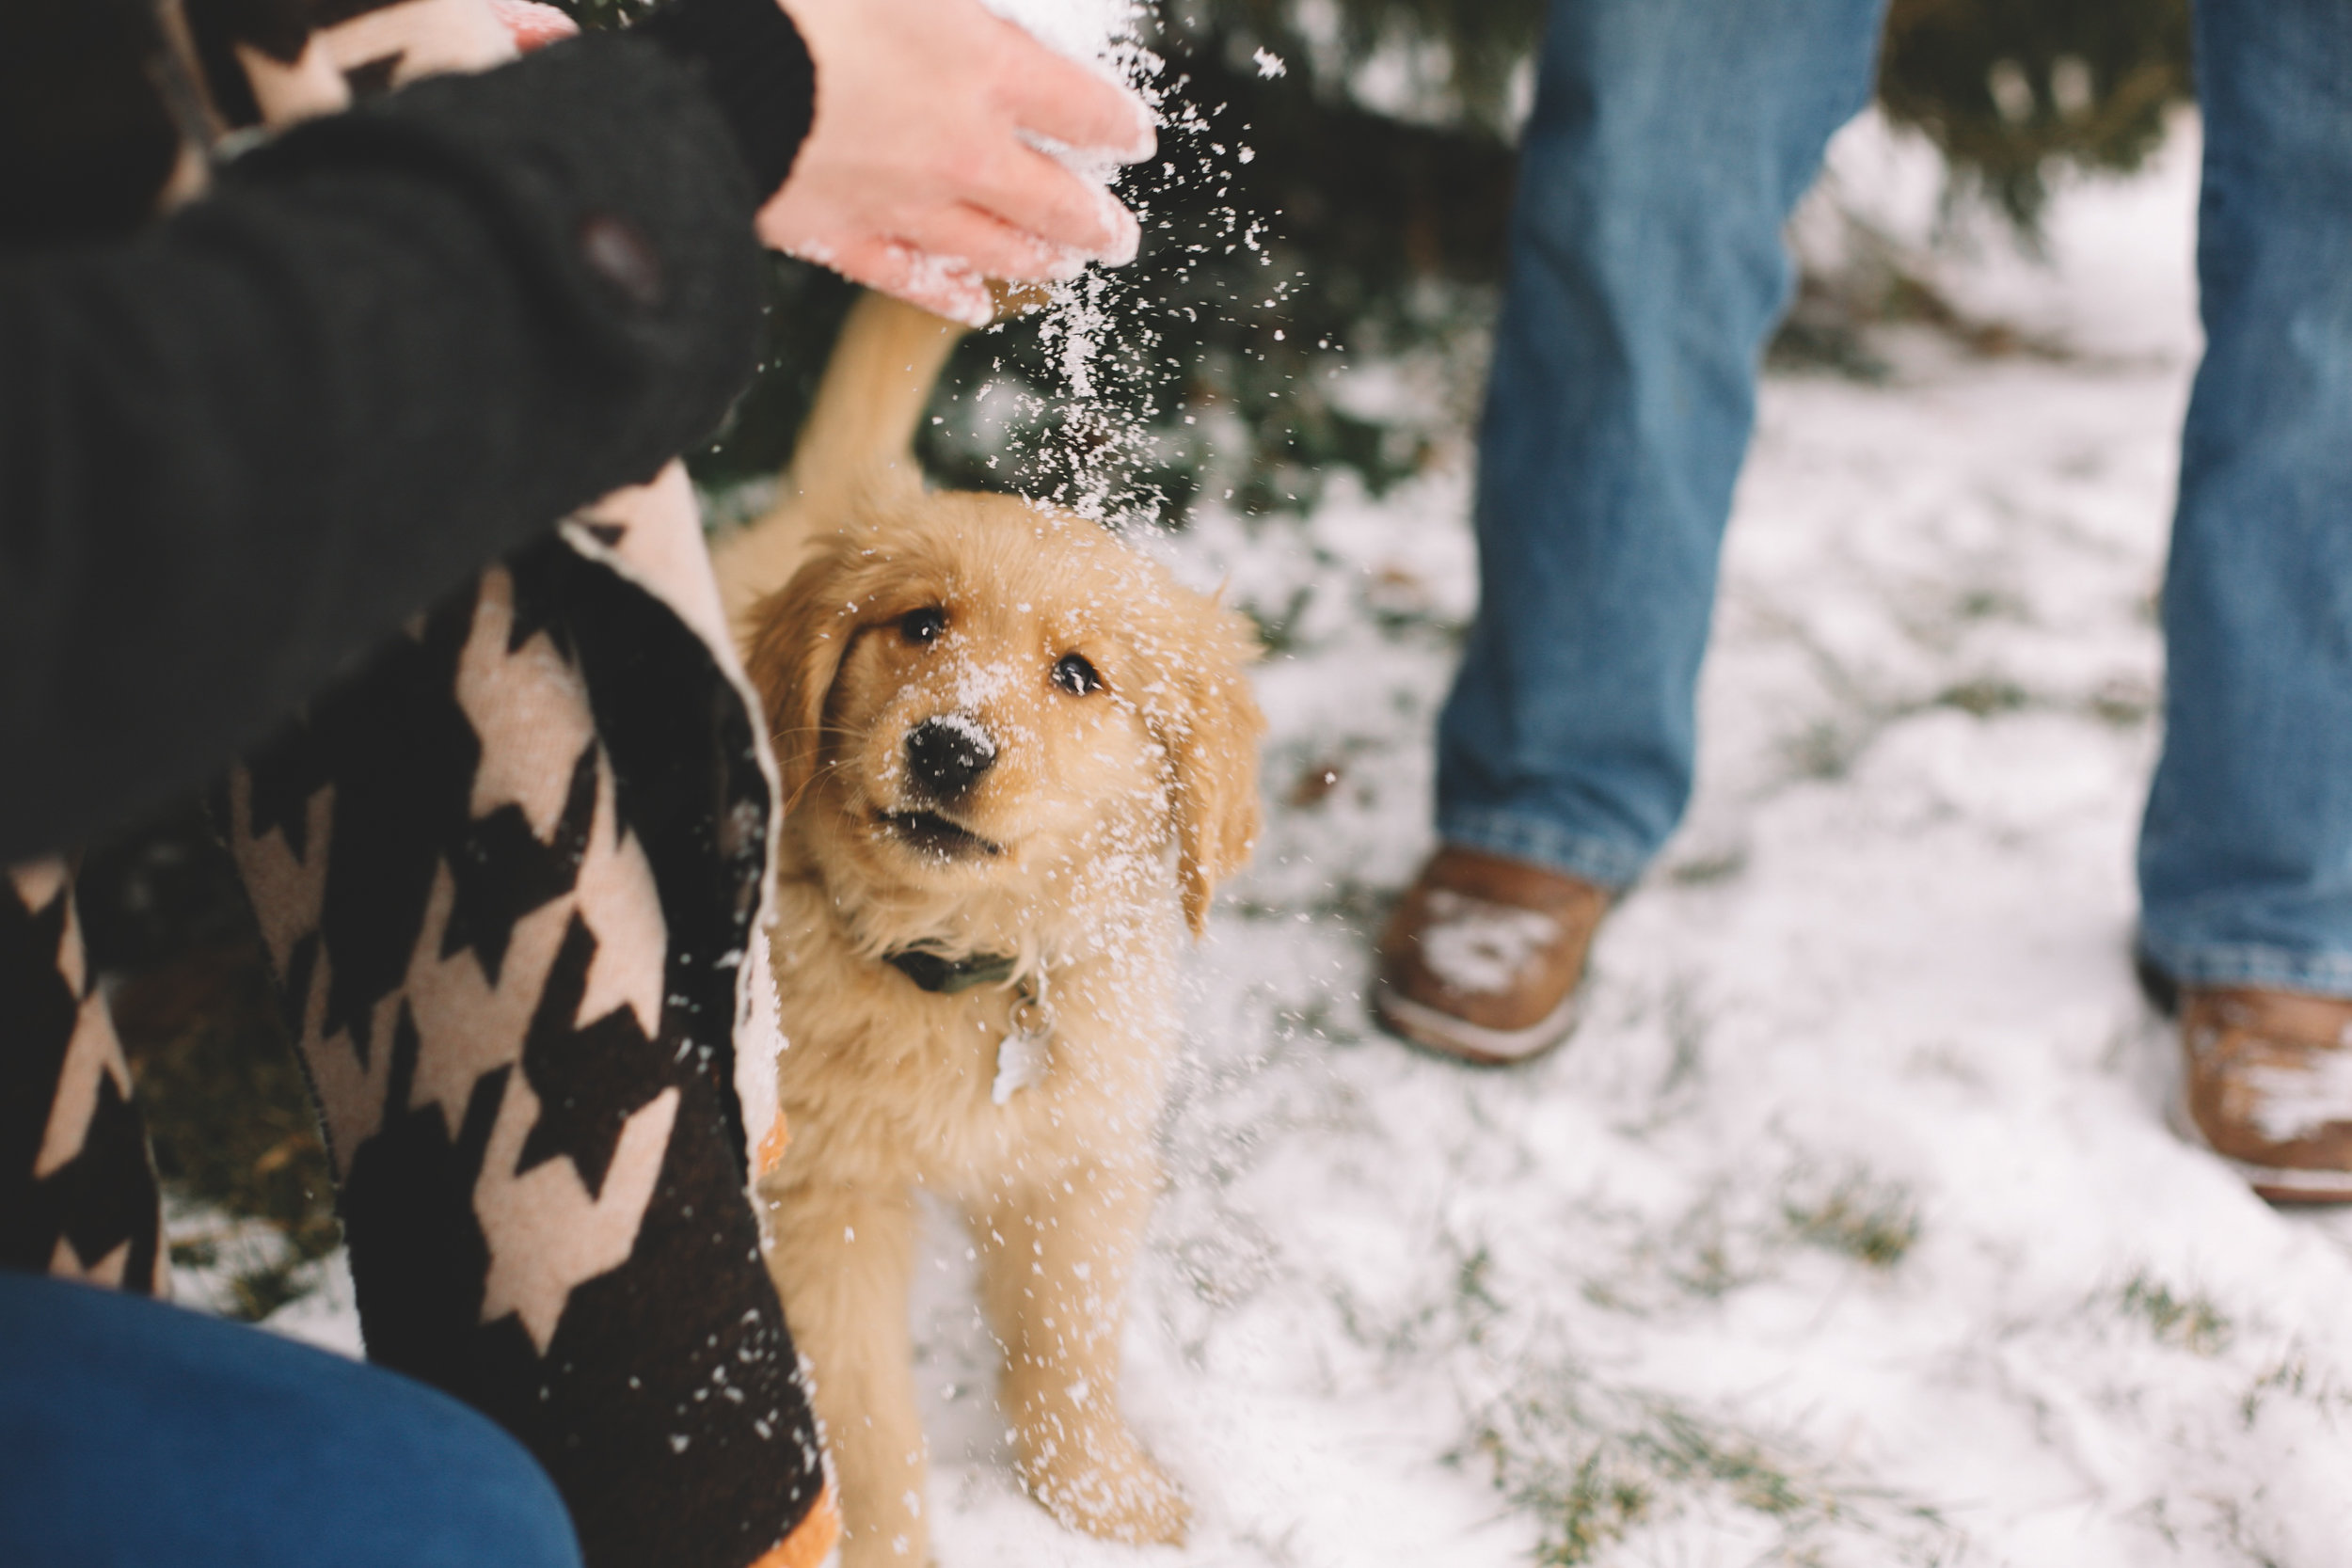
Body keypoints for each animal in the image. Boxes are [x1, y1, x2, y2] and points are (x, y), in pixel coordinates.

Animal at [729, 288, 1270, 1560]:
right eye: (919, 623)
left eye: (1078, 674)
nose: (948, 747)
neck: (957, 966)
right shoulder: (827, 1202)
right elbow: (869, 1421)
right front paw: (886, 1548)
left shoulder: (1076, 1156)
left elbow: (1063, 1342)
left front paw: (1101, 1496)